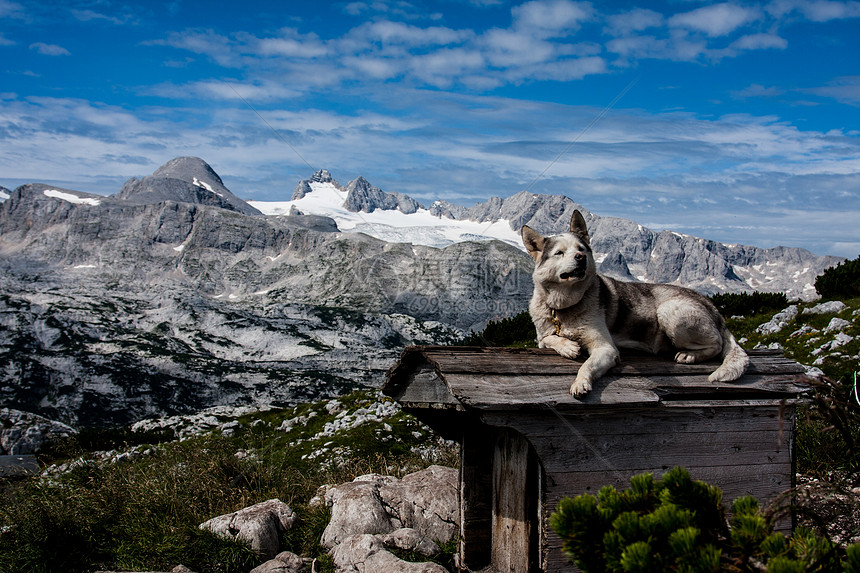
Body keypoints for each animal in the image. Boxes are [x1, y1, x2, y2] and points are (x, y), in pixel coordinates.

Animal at [520, 211, 748, 398]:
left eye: (581, 248)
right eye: (559, 253)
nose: (581, 257)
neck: (564, 306)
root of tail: (714, 308)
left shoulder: (605, 348)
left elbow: (585, 366)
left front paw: (580, 383)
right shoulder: (542, 338)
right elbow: (550, 339)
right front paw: (567, 346)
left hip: (669, 310)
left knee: (717, 344)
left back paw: (690, 355)